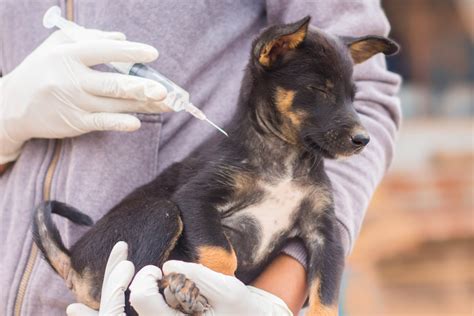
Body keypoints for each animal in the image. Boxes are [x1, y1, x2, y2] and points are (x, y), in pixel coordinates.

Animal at [31, 17, 398, 316]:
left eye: (353, 96)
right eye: (318, 89)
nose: (363, 140)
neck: (283, 159)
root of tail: (73, 258)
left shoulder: (326, 235)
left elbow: (326, 293)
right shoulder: (197, 198)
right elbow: (222, 257)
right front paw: (216, 288)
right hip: (160, 213)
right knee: (133, 288)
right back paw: (179, 288)